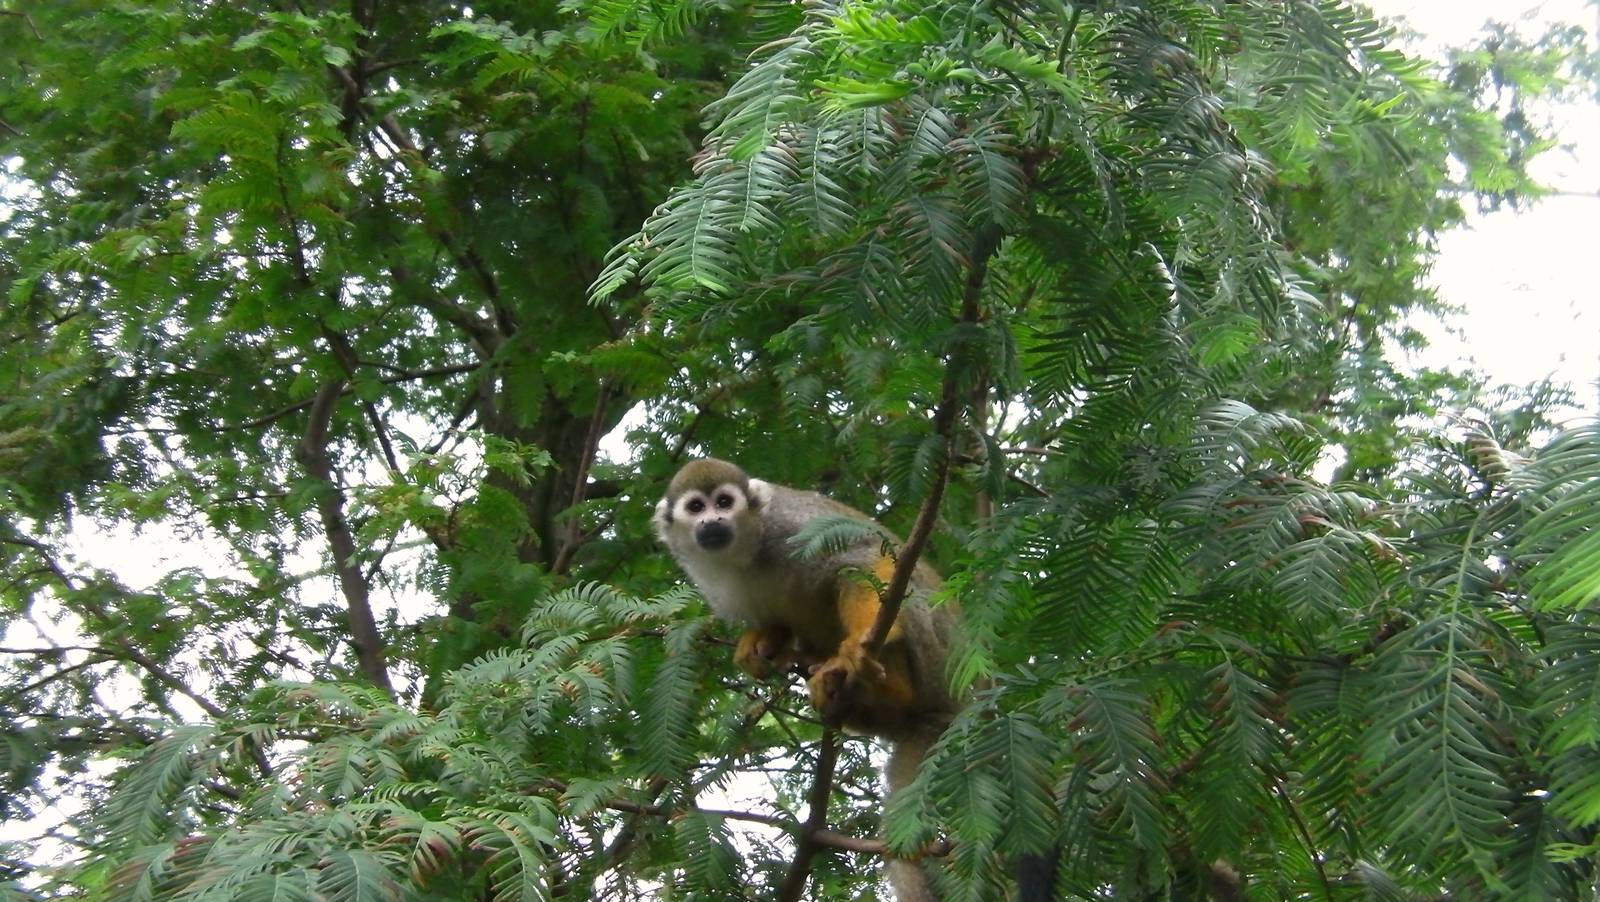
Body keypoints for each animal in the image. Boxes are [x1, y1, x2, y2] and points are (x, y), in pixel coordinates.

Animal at [653, 458, 960, 902]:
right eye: (696, 507)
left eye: (724, 502)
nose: (712, 521)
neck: (745, 552)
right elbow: (774, 619)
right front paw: (762, 642)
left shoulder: (790, 526)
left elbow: (863, 555)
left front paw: (858, 645)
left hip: (936, 657)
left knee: (892, 587)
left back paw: (876, 679)